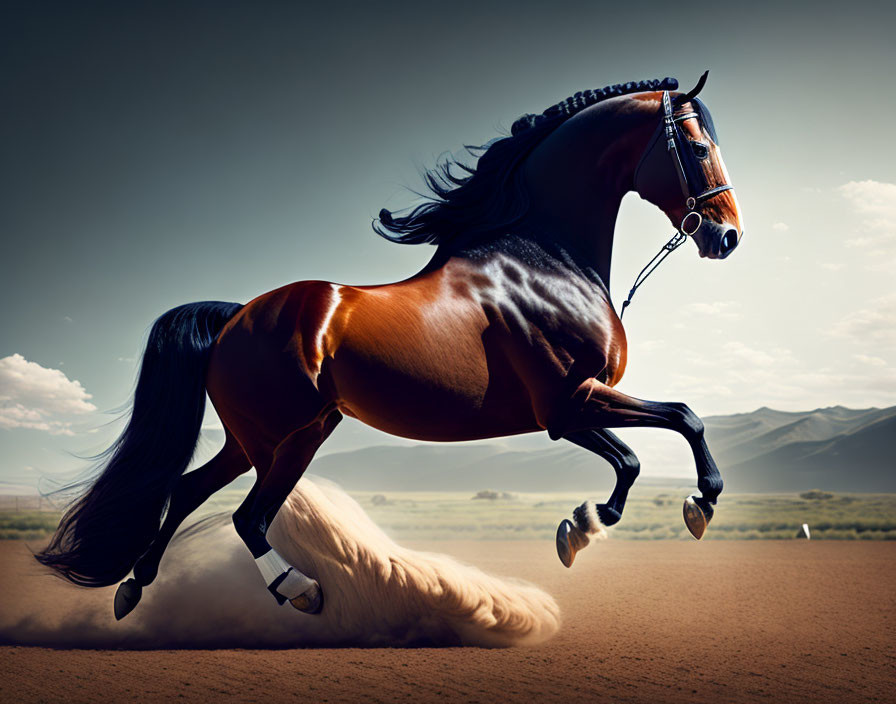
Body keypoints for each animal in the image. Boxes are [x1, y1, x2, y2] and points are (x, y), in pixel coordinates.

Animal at [36, 73, 744, 620]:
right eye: (698, 146)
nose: (726, 236)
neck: (542, 261)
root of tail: (238, 318)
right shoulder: (566, 406)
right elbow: (658, 438)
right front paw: (633, 516)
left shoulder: (578, 404)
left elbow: (667, 432)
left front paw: (625, 515)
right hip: (280, 440)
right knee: (246, 517)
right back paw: (301, 590)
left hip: (271, 436)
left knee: (189, 492)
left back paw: (132, 589)